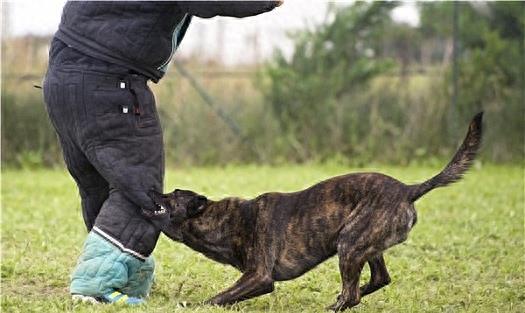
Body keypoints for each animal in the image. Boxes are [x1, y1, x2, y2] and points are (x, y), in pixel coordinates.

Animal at [150, 112, 484, 310]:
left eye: (173, 194)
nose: (152, 190)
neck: (224, 220)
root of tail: (407, 189)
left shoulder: (259, 277)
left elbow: (219, 297)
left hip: (349, 245)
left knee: (353, 293)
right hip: (364, 244)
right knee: (377, 281)